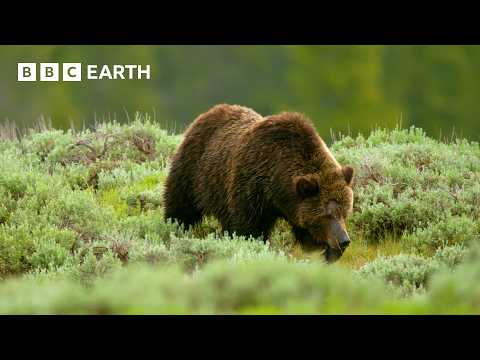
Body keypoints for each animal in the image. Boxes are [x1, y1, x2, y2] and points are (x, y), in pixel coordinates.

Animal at [163, 103, 354, 262]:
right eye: (327, 214)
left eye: (345, 211)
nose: (344, 241)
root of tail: (208, 113)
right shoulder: (252, 186)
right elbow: (248, 228)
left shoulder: (295, 206)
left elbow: (308, 236)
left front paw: (327, 253)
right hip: (194, 172)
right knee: (181, 208)